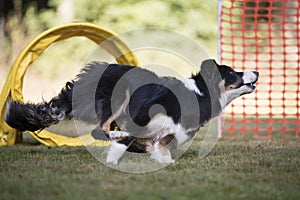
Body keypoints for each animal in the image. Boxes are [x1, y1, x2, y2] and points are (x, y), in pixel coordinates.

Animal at [4, 59, 258, 164]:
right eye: (233, 73)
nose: (256, 71)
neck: (199, 93)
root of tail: (88, 76)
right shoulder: (142, 113)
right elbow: (127, 139)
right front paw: (115, 158)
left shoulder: (169, 131)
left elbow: (160, 145)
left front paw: (160, 158)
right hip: (118, 98)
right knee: (100, 130)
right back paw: (119, 135)